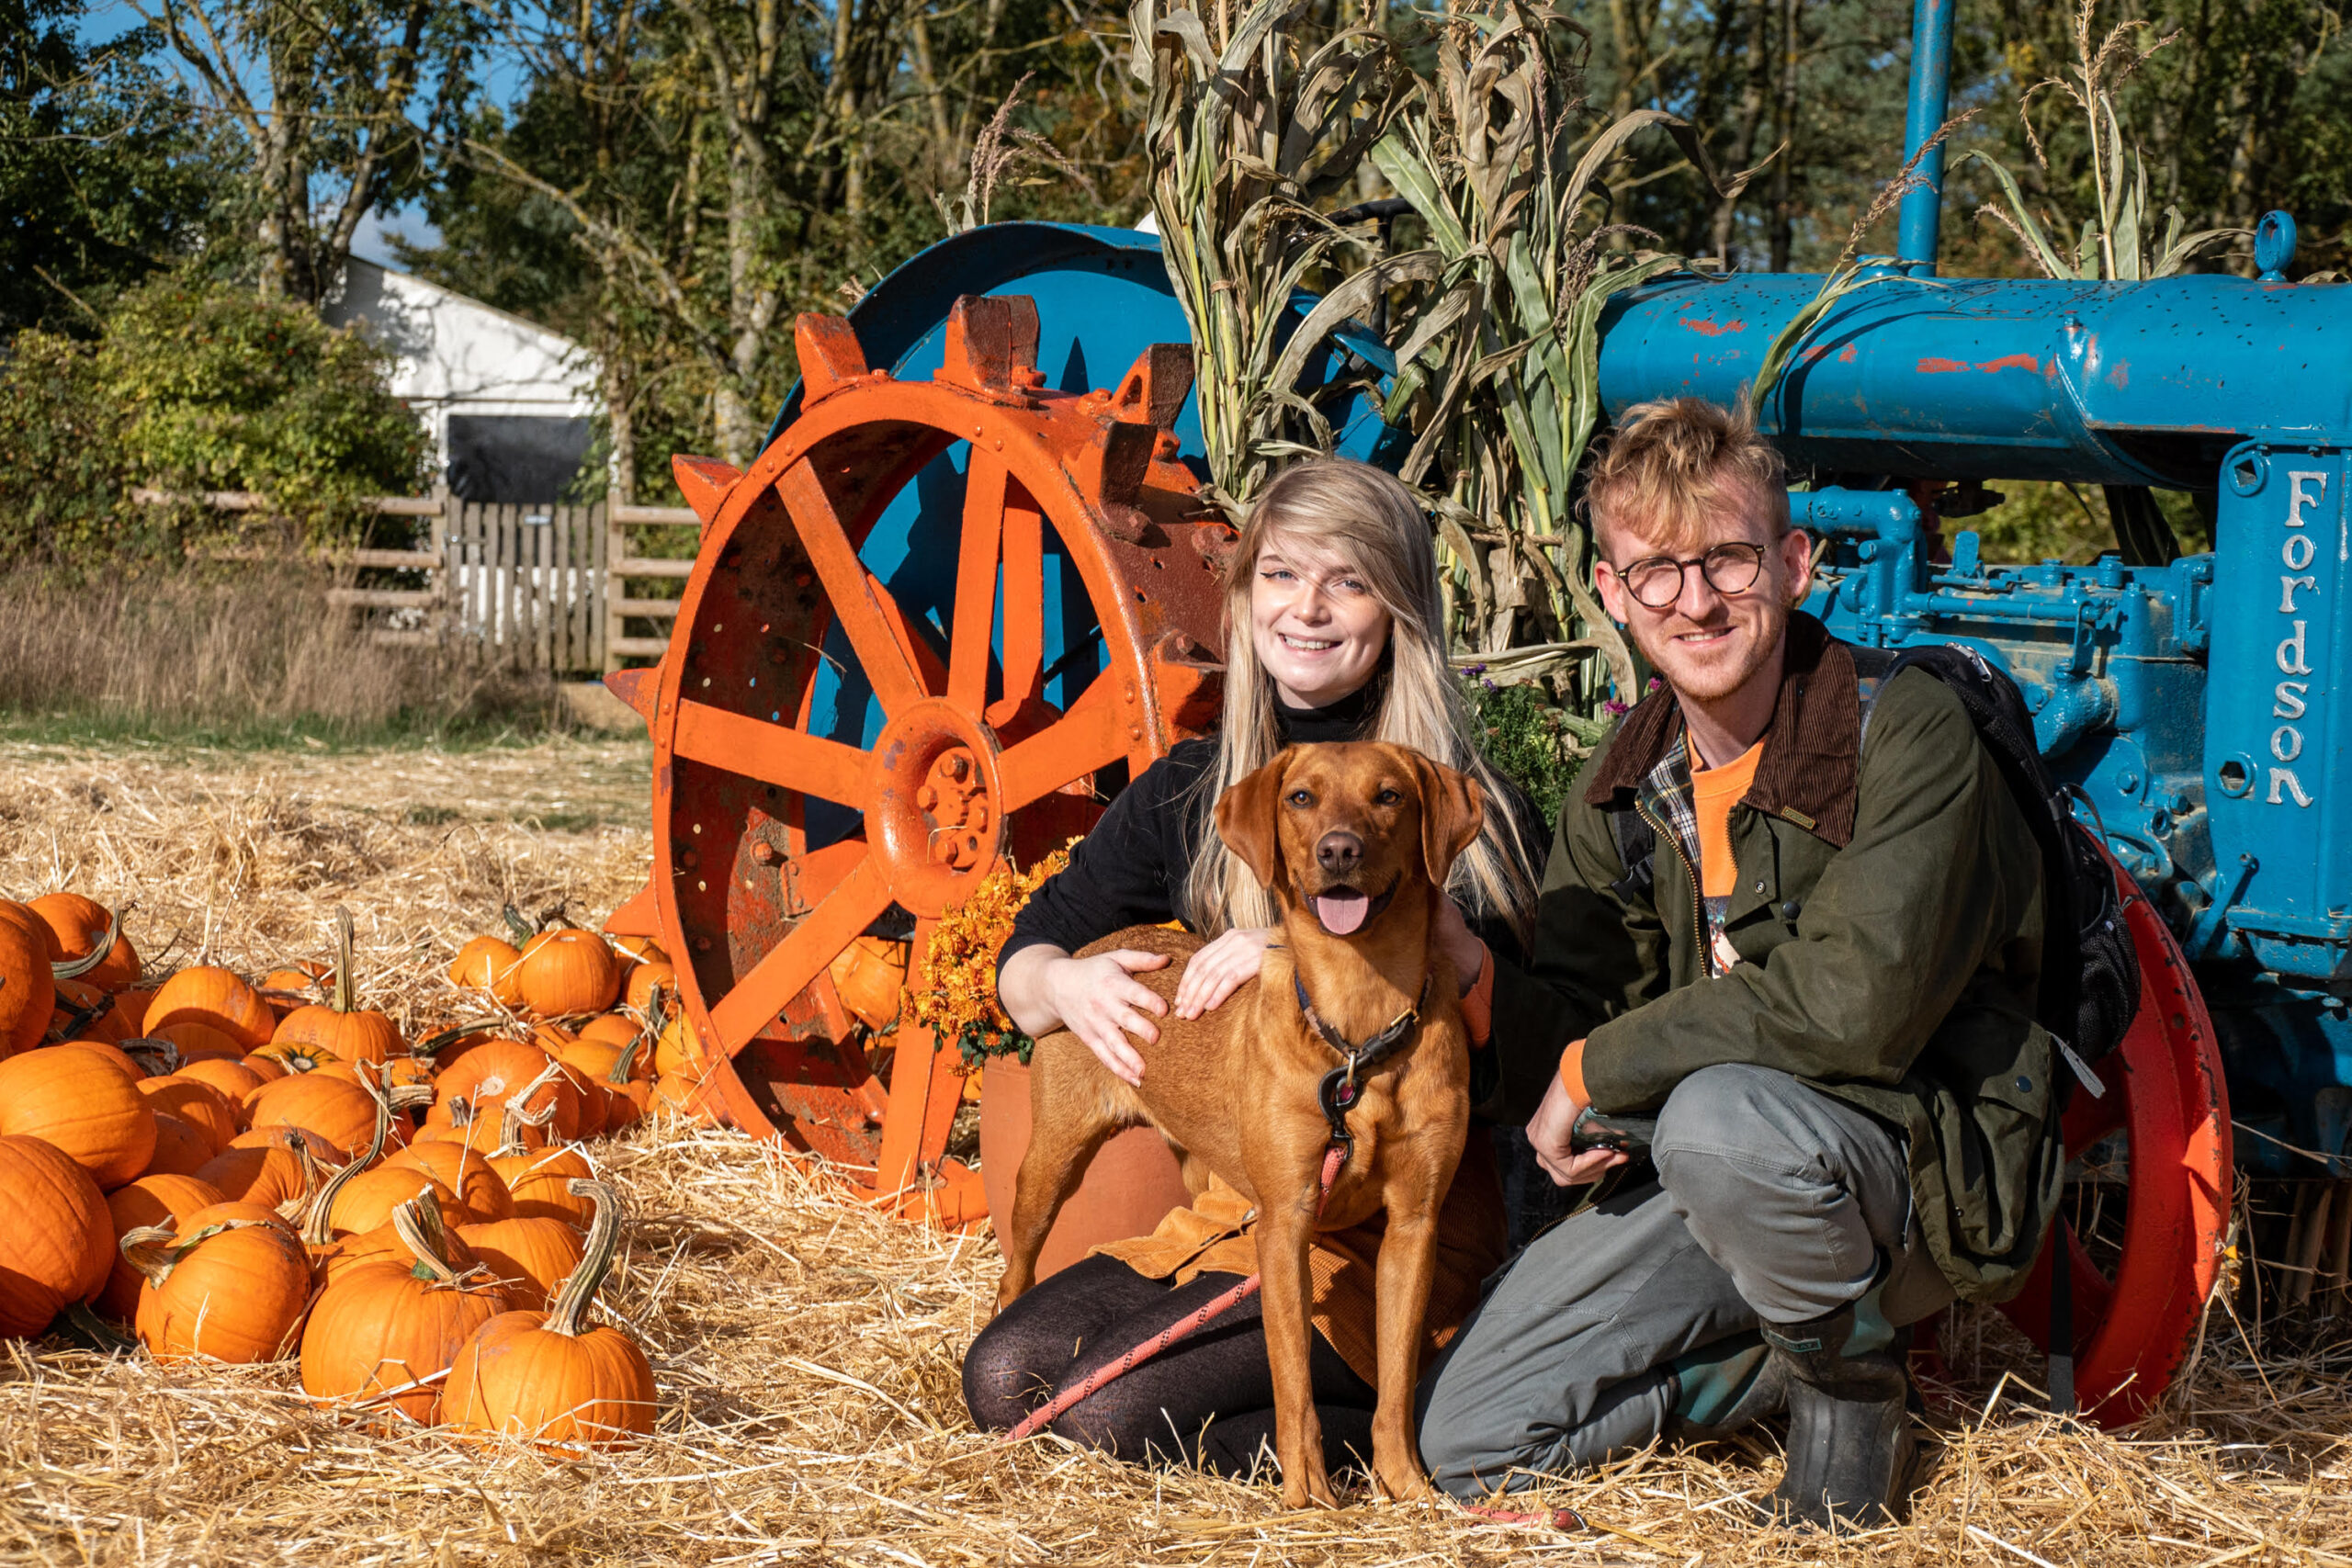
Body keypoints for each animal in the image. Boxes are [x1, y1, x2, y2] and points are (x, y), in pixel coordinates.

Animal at [997, 747, 1476, 1504]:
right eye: (1302, 797)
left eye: (1390, 796)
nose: (1339, 850)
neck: (1358, 1033)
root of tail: (1096, 947)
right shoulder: (1287, 1220)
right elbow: (1293, 1381)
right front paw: (1308, 1494)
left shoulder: (1413, 1225)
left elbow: (1397, 1382)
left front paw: (1405, 1485)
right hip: (1050, 1164)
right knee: (1015, 1271)